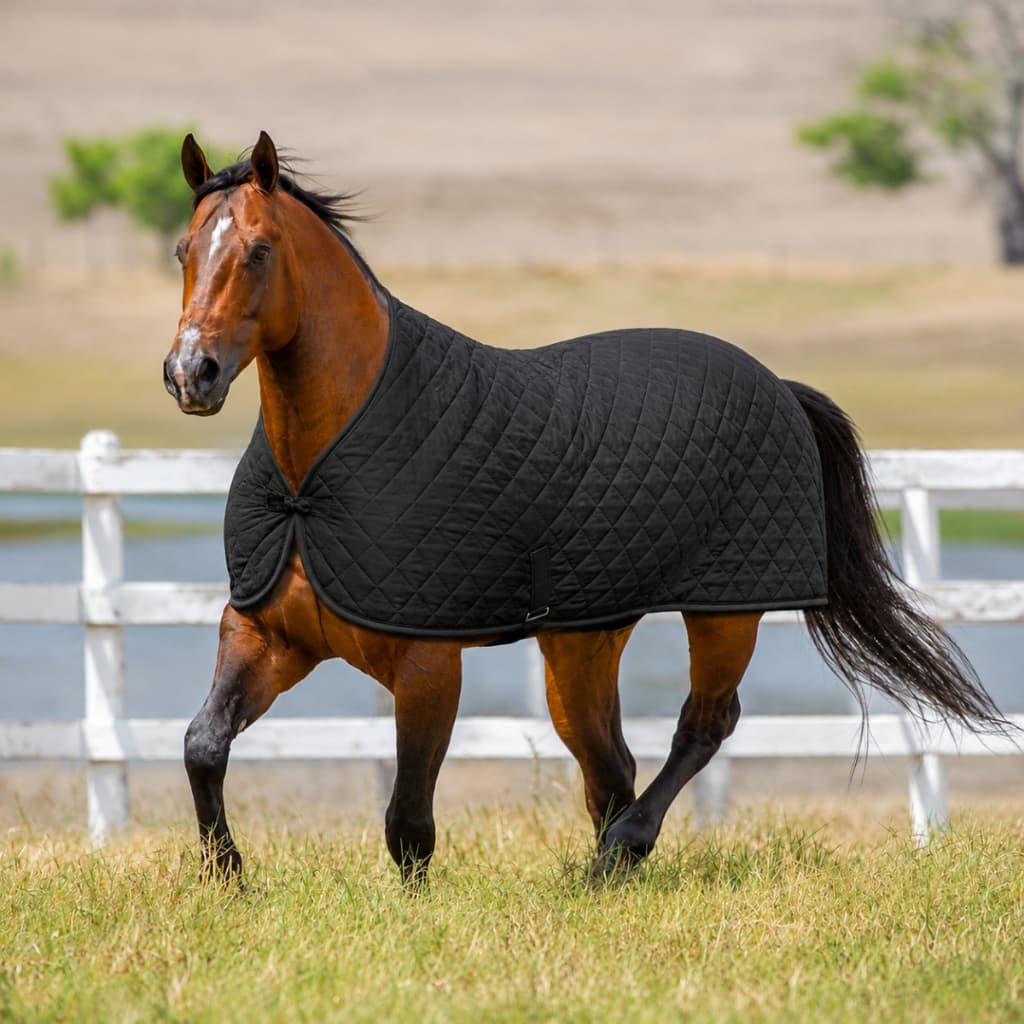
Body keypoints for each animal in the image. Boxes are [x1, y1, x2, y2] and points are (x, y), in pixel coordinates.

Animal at [165, 131, 1003, 884]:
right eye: (183, 250)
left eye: (259, 251)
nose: (190, 373)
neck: (309, 487)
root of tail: (779, 387)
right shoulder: (267, 636)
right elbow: (203, 744)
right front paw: (228, 877)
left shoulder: (428, 666)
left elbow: (408, 821)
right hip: (581, 642)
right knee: (611, 762)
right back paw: (605, 867)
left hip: (725, 613)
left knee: (702, 726)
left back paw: (621, 853)